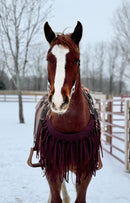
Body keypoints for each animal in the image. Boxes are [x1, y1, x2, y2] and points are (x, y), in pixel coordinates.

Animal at [27, 21, 102, 203]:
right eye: (48, 59)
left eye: (77, 60)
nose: (58, 101)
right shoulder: (53, 167)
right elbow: (56, 196)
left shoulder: (85, 171)